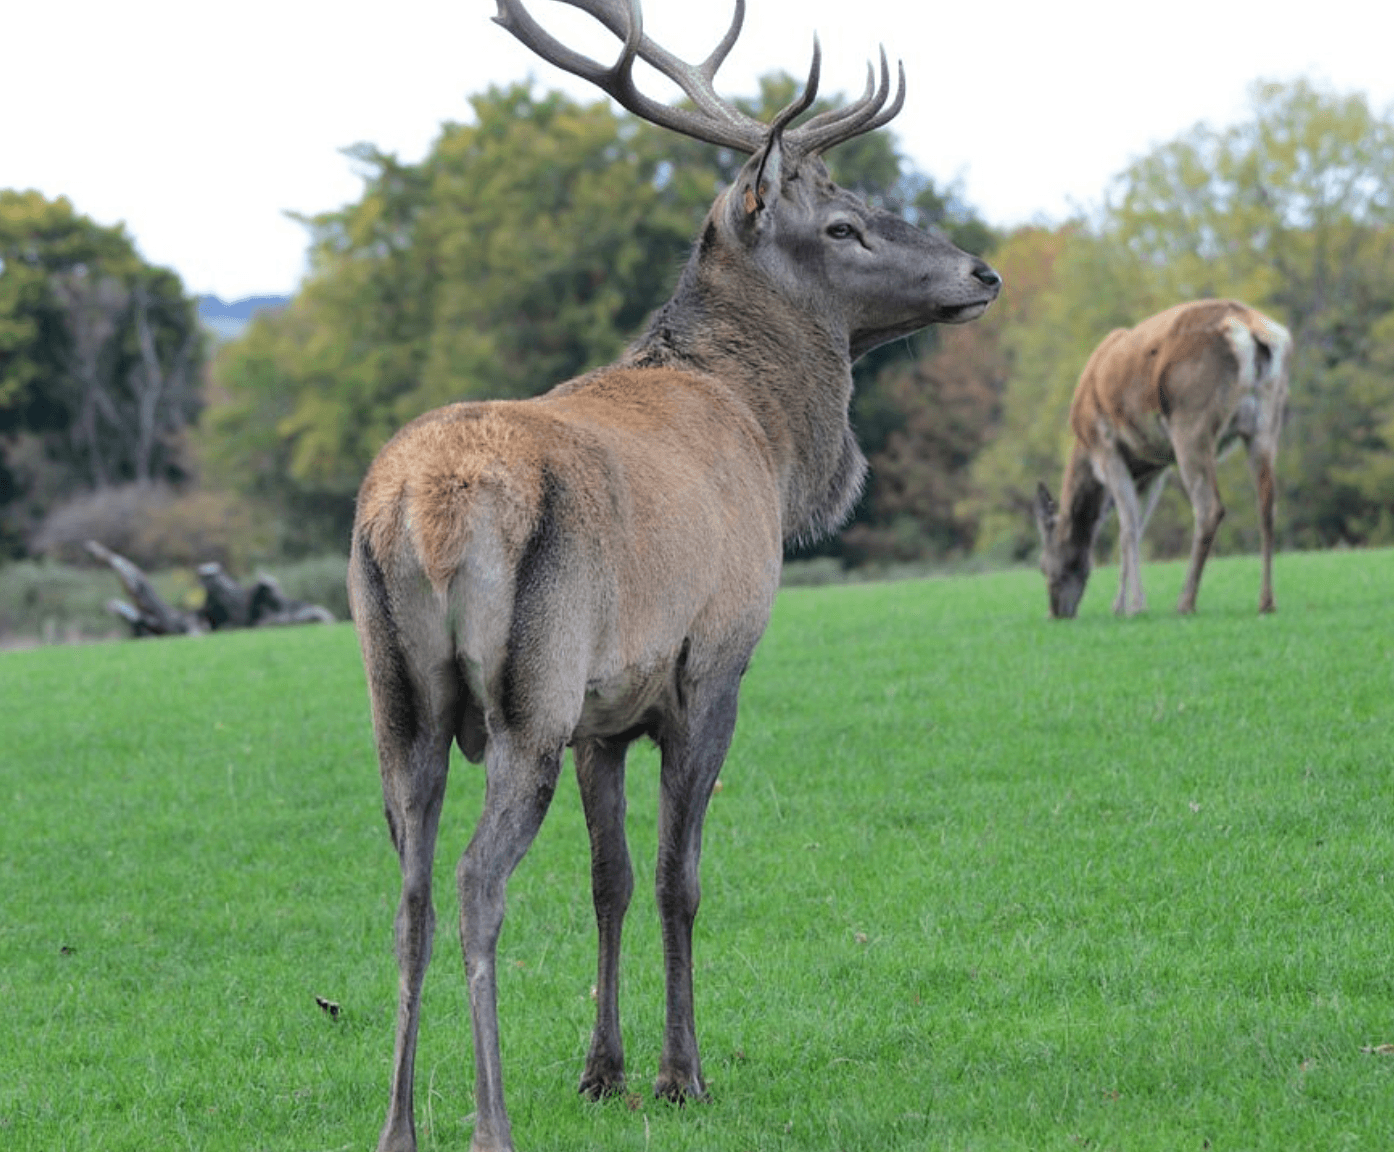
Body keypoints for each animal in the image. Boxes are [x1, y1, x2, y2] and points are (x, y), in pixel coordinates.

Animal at [346, 2, 1000, 1150]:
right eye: (843, 226)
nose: (981, 273)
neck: (774, 448)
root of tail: (421, 508)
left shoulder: (606, 711)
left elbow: (606, 880)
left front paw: (601, 1069)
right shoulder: (710, 664)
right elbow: (674, 878)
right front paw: (680, 1073)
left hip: (398, 696)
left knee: (410, 892)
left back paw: (398, 1125)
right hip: (529, 691)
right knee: (475, 882)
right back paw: (488, 1120)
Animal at [1032, 299, 1291, 620]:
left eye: (1042, 565)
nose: (1056, 611)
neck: (1082, 445)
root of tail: (1253, 331)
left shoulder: (1106, 449)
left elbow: (1128, 528)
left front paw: (1133, 606)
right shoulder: (1156, 467)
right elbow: (1137, 528)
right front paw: (1121, 604)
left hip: (1191, 422)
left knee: (1209, 508)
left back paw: (1185, 602)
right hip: (1267, 421)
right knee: (1267, 504)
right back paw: (1267, 601)